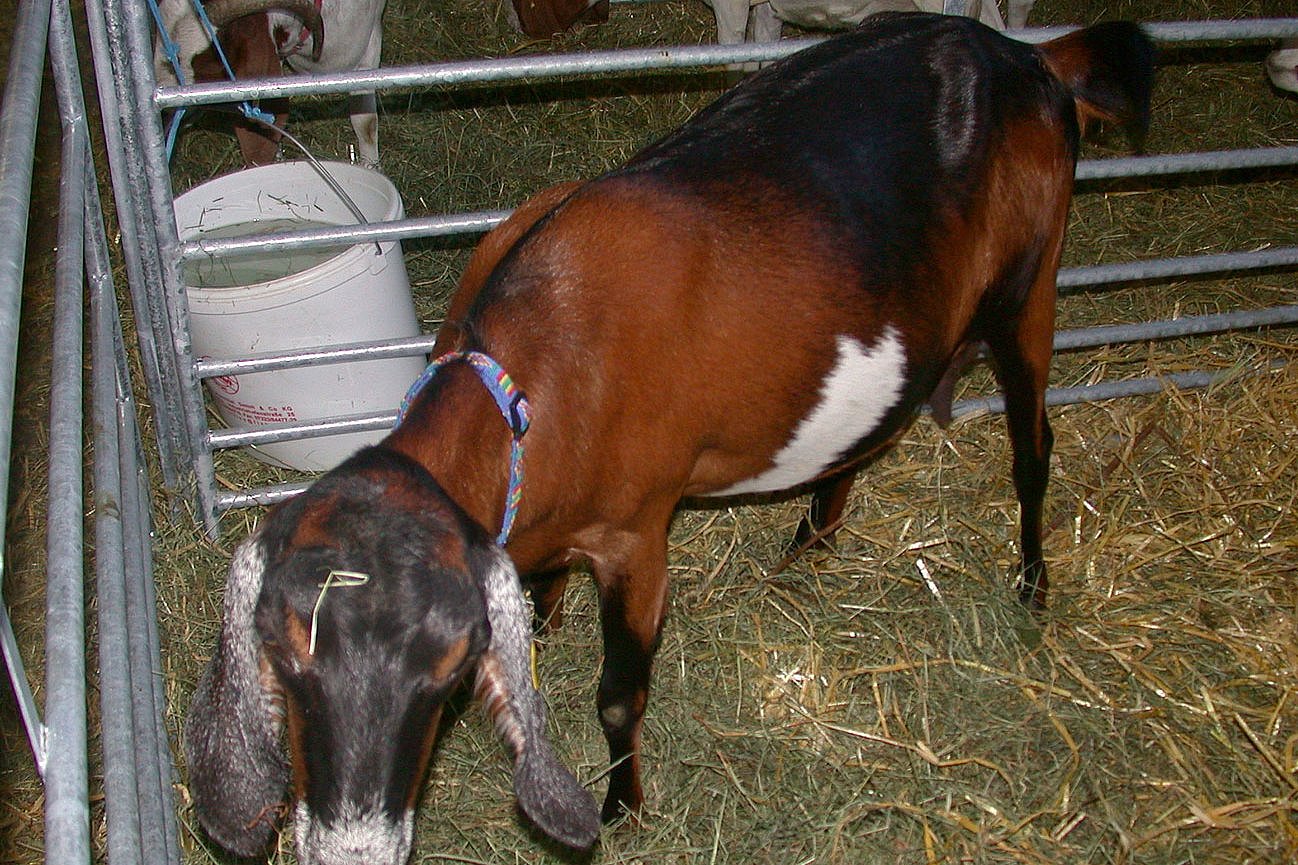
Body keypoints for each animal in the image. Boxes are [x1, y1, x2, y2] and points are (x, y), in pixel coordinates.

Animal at [185, 15, 1157, 862]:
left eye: (446, 670)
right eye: (282, 663)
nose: (353, 845)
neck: (531, 374)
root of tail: (1027, 57)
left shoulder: (637, 533)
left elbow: (620, 696)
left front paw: (622, 807)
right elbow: (541, 589)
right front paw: (545, 626)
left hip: (1031, 284)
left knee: (1035, 444)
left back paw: (1031, 582)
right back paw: (807, 544)